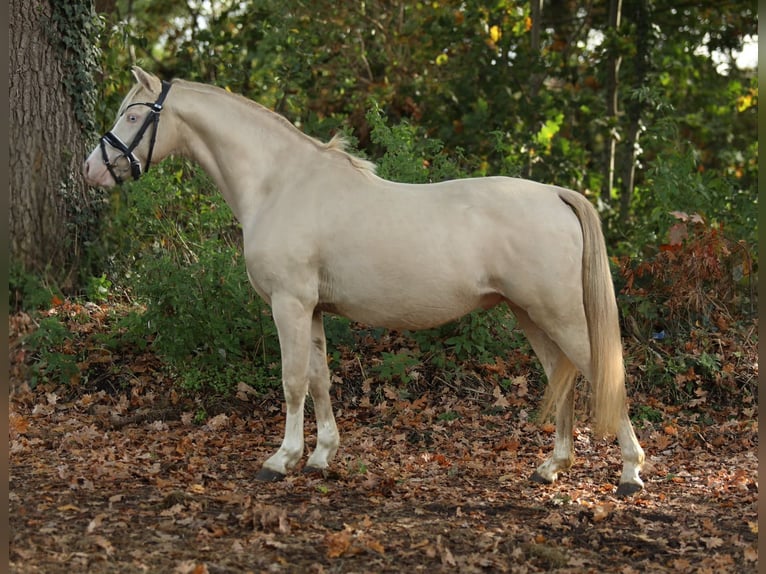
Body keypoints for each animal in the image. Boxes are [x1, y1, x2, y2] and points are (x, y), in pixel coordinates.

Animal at [83, 67, 645, 496]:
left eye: (132, 115)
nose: (92, 170)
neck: (280, 184)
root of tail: (555, 194)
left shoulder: (288, 304)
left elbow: (291, 381)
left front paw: (280, 459)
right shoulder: (311, 309)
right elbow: (319, 378)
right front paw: (320, 457)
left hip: (559, 314)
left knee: (602, 374)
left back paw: (630, 473)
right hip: (529, 315)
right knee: (562, 378)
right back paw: (552, 467)